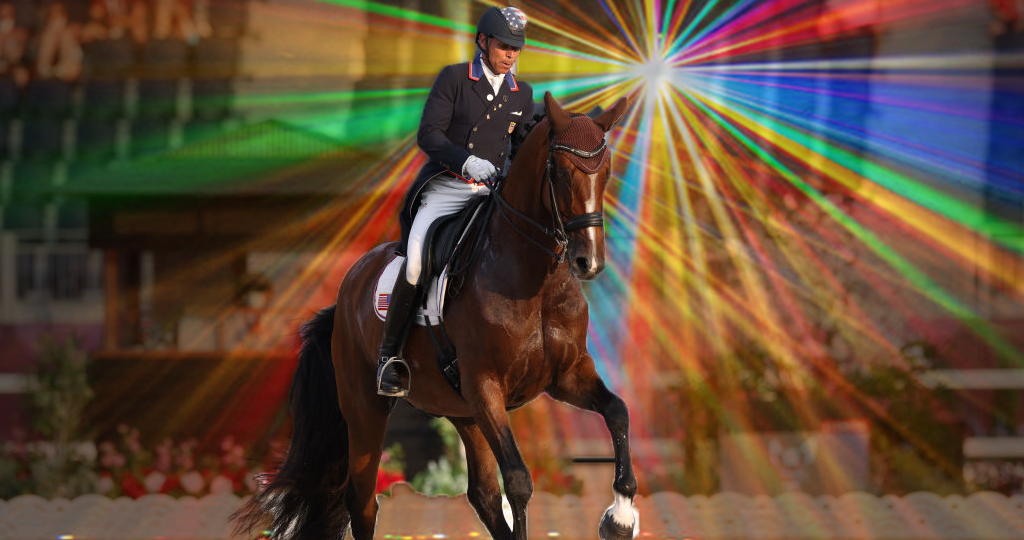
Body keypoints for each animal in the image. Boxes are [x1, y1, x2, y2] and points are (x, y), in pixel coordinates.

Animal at [233, 92, 638, 540]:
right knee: (363, 501)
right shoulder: (485, 385)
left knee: (482, 495)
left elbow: (618, 412)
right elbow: (518, 480)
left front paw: (620, 518)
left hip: (463, 412)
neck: (537, 282)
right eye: (562, 173)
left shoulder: (566, 376)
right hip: (366, 408)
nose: (589, 262)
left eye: (606, 173)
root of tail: (347, 288)